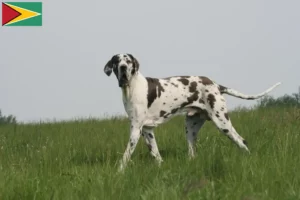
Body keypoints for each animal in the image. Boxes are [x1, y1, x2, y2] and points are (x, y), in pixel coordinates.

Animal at [103, 53, 282, 172]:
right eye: (116, 61)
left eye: (128, 61)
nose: (123, 67)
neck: (133, 87)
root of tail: (216, 85)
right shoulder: (147, 131)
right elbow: (156, 154)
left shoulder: (135, 130)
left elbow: (126, 155)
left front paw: (119, 171)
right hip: (190, 128)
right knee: (192, 153)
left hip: (223, 123)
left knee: (242, 141)